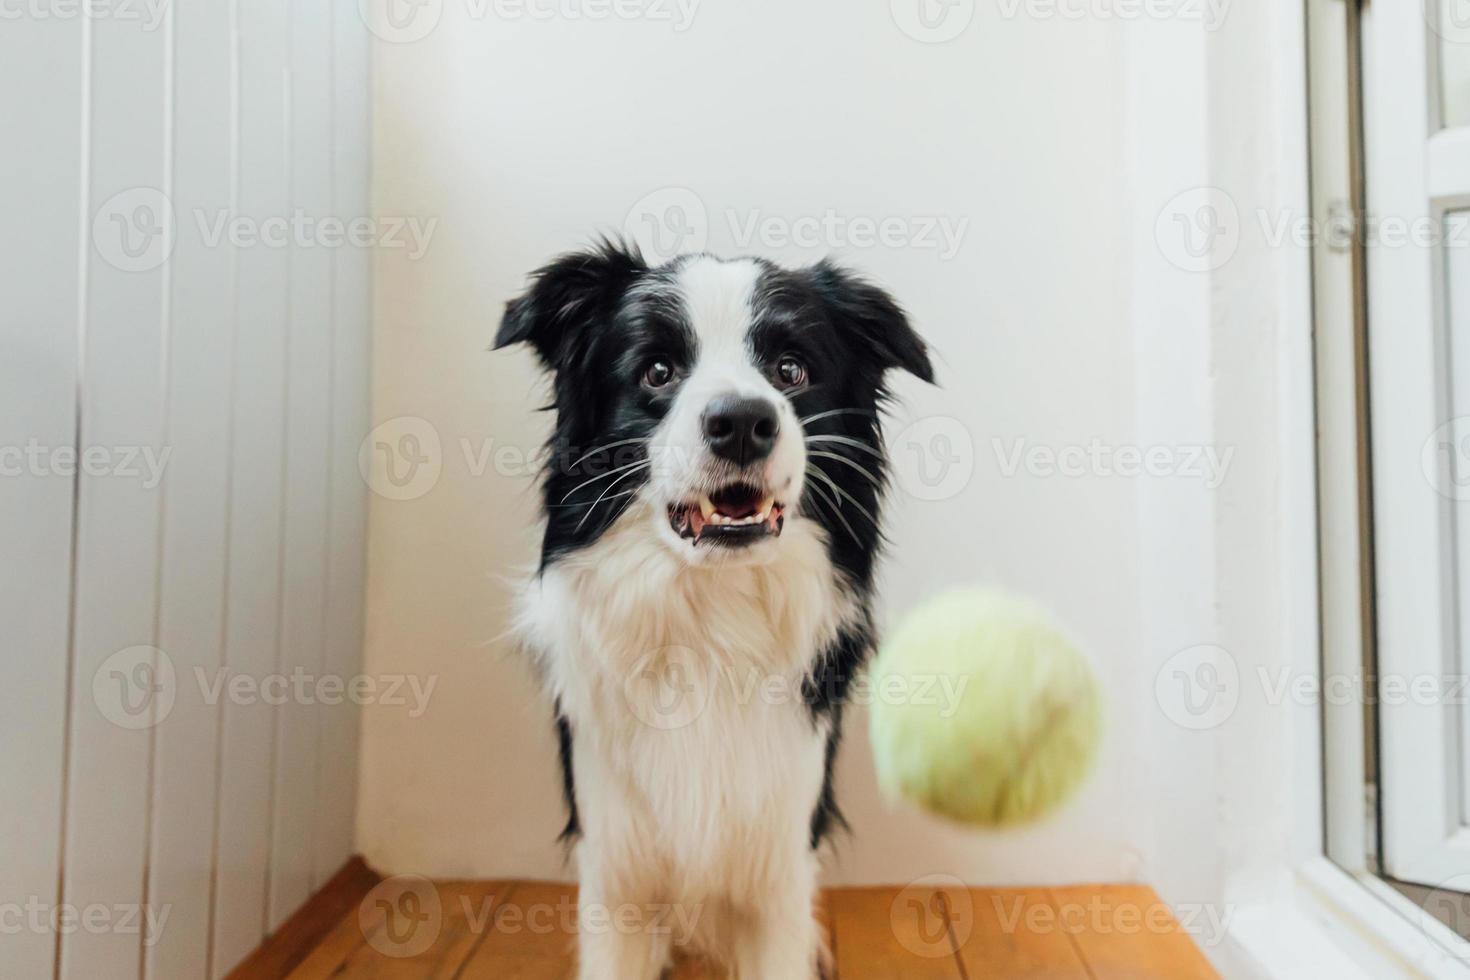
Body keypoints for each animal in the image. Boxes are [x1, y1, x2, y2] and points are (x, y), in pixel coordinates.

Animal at [493, 239, 929, 980]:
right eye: (658, 371)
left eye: (791, 370)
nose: (743, 423)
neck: (710, 623)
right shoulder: (616, 871)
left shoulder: (779, 871)